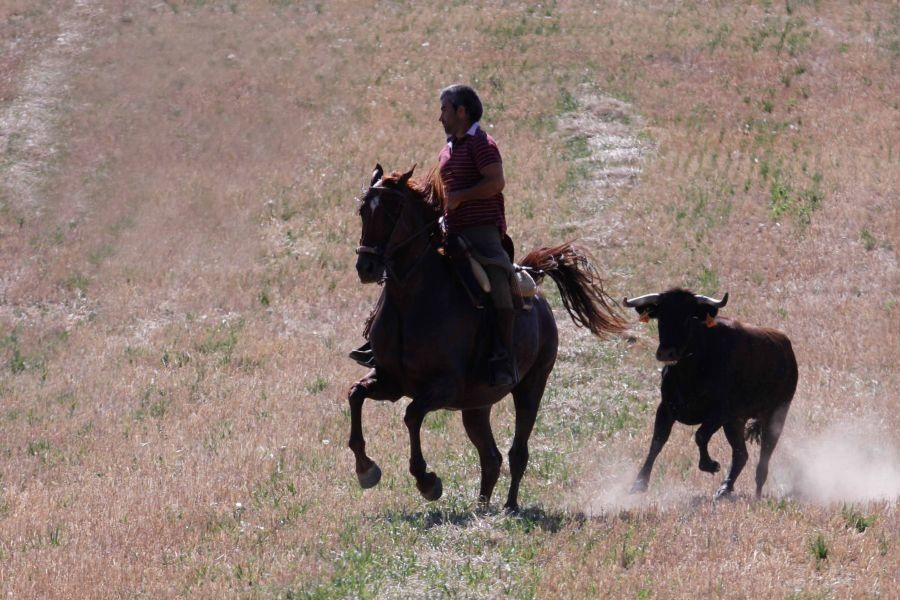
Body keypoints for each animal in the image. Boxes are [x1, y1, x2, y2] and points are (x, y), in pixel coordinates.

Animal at [348, 163, 628, 510]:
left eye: (393, 211)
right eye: (363, 211)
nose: (366, 267)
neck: (411, 300)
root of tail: (533, 284)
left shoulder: (443, 387)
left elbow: (412, 415)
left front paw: (427, 481)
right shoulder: (390, 381)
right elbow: (355, 394)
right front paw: (366, 469)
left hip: (531, 387)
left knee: (517, 451)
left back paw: (509, 507)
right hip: (476, 406)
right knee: (491, 457)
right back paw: (481, 508)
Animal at [624, 288, 796, 500]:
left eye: (688, 317)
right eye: (661, 316)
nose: (666, 353)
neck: (689, 371)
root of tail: (786, 347)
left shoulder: (720, 413)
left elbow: (700, 435)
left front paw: (710, 465)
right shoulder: (666, 408)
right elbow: (657, 442)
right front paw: (639, 484)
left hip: (775, 416)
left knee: (764, 457)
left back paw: (756, 493)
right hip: (736, 422)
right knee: (741, 454)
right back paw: (725, 488)